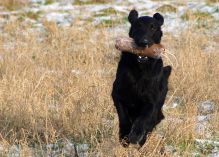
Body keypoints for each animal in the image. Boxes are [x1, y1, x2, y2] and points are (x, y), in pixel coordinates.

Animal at [112, 10, 172, 147]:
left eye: (153, 28)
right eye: (138, 26)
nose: (144, 43)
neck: (140, 69)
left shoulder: (151, 102)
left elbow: (143, 119)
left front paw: (135, 135)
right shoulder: (117, 94)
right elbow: (123, 116)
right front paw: (124, 135)